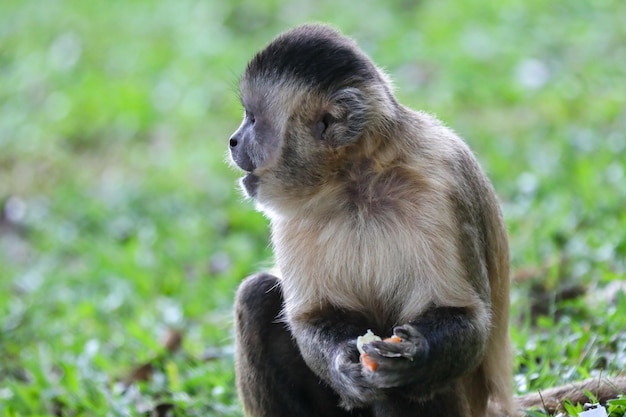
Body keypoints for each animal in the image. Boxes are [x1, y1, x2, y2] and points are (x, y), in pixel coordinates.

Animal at [228, 23, 624, 416]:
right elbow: (313, 317)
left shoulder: (443, 185)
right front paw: (344, 364)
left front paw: (414, 359)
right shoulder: (292, 217)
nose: (233, 140)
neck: (358, 183)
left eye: (253, 119)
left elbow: (468, 320)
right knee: (257, 294)